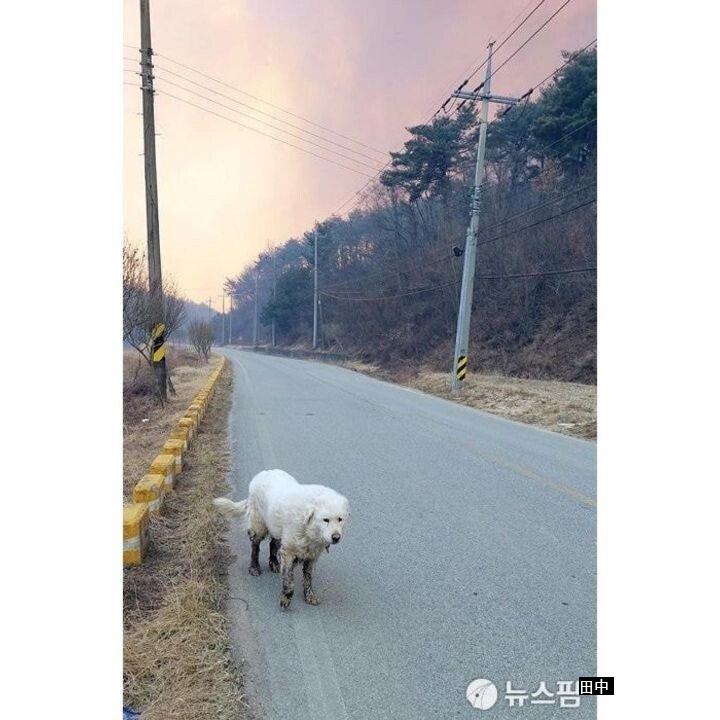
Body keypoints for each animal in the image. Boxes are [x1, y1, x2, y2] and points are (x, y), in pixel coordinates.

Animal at [214, 470, 348, 612]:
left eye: (340, 519)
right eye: (325, 520)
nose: (336, 537)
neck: (307, 524)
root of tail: (264, 472)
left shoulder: (312, 554)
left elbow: (308, 577)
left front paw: (309, 595)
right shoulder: (289, 551)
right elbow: (289, 582)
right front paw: (286, 599)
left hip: (276, 527)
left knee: (273, 543)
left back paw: (274, 563)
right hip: (259, 524)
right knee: (255, 546)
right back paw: (254, 567)